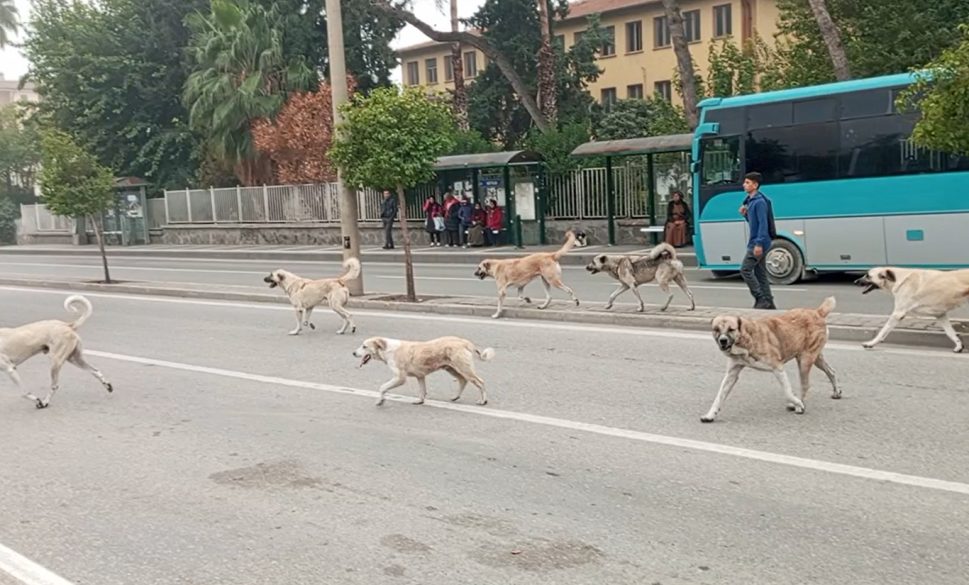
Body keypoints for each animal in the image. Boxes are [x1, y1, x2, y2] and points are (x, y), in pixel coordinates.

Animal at [352, 334, 496, 406]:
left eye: (364, 346)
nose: (353, 353)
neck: (387, 349)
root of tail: (464, 341)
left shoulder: (400, 378)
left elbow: (382, 387)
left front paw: (380, 400)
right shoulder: (420, 376)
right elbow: (422, 390)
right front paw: (420, 401)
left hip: (463, 368)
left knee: (480, 382)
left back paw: (483, 401)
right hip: (452, 368)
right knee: (462, 380)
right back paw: (456, 396)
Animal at [700, 296, 836, 420]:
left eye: (731, 329)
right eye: (716, 329)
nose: (723, 341)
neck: (747, 339)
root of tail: (817, 312)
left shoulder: (778, 368)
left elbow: (788, 392)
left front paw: (797, 402)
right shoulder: (732, 374)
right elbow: (719, 396)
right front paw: (710, 414)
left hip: (805, 361)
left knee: (805, 385)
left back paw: (799, 405)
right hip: (815, 358)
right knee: (831, 372)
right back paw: (836, 392)